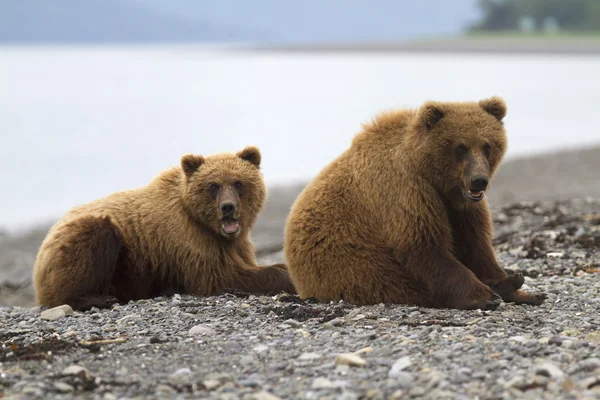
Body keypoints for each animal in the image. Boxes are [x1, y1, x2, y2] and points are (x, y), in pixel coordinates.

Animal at [32, 146, 296, 310]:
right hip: (81, 243)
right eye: (213, 185)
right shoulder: (188, 239)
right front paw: (287, 276)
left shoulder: (234, 244)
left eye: (238, 183)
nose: (228, 207)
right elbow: (222, 275)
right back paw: (98, 298)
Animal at [284, 97, 548, 310]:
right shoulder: (406, 191)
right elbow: (423, 246)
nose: (479, 180)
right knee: (397, 282)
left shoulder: (460, 206)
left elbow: (475, 244)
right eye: (460, 147)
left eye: (487, 145)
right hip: (351, 263)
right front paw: (484, 295)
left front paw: (520, 288)